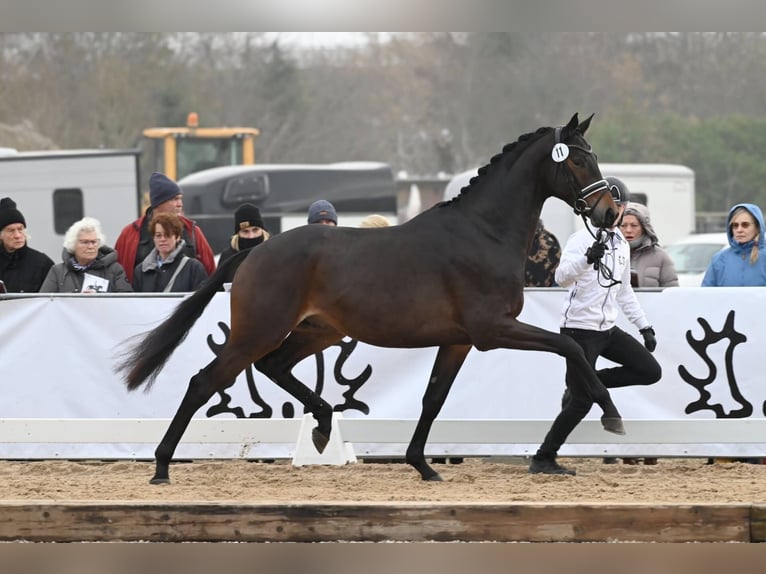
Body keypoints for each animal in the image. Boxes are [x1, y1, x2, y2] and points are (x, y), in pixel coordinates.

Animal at [118, 111, 624, 482]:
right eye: (578, 161)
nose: (610, 213)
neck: (483, 233)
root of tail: (254, 250)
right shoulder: (493, 330)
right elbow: (570, 345)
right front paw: (611, 413)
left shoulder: (458, 340)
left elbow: (433, 399)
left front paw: (421, 466)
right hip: (256, 332)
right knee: (204, 382)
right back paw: (161, 466)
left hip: (316, 332)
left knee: (275, 367)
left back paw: (323, 426)